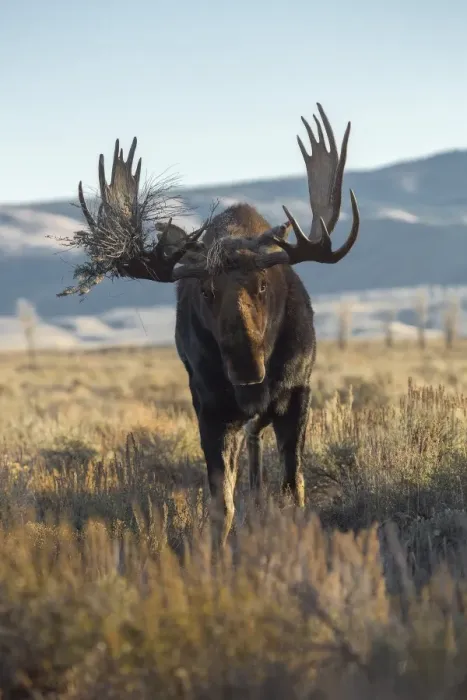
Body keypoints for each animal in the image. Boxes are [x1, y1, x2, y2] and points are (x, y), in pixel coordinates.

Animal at [73, 104, 360, 546]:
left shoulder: (298, 395)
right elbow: (220, 505)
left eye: (263, 284)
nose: (246, 370)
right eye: (205, 291)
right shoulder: (209, 407)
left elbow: (294, 489)